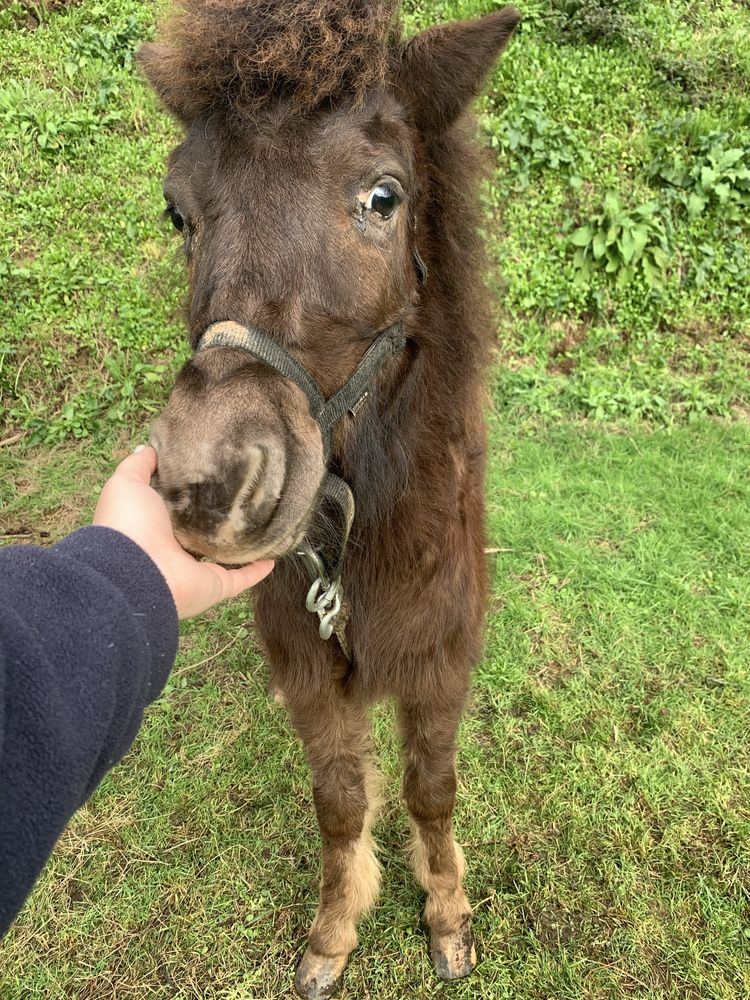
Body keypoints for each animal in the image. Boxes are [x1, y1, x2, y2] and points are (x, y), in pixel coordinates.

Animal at [138, 3, 520, 996]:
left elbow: (431, 789)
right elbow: (341, 801)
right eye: (178, 211)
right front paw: (336, 929)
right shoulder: (312, 677)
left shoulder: (438, 665)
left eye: (383, 198)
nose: (213, 485)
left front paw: (446, 914)